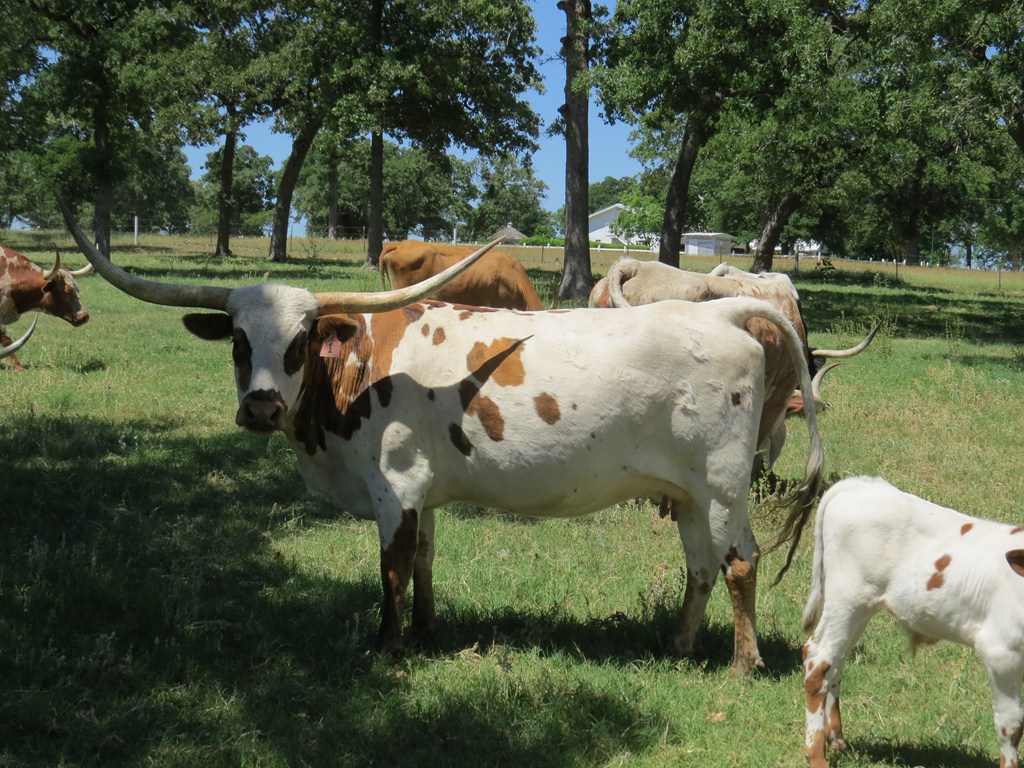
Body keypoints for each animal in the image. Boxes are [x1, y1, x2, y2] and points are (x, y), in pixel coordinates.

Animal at [802, 476, 1024, 768]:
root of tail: (860, 484)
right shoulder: (1001, 652)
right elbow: (1011, 726)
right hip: (846, 600)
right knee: (818, 664)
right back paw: (817, 756)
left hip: (860, 609)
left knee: (833, 663)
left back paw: (837, 740)